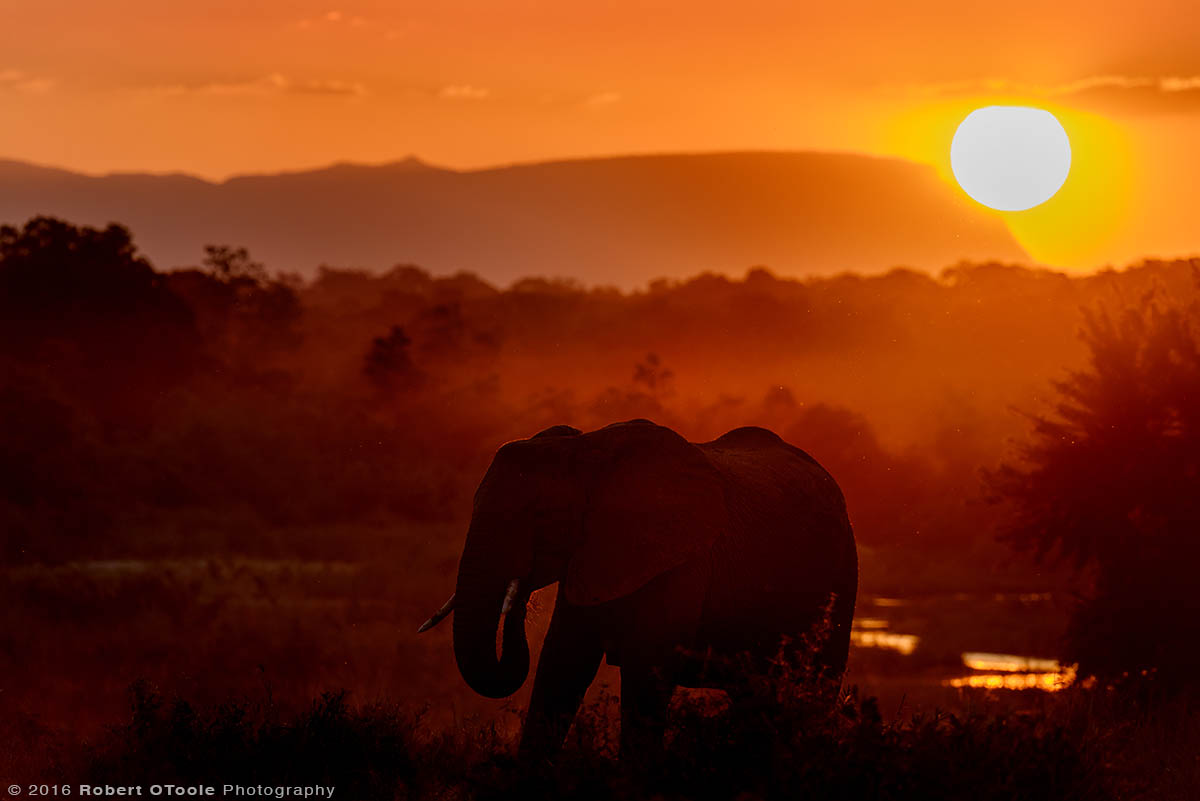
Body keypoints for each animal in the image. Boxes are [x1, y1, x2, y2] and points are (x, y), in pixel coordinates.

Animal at [417, 419, 859, 762]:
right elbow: (561, 663)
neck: (587, 450)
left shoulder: (680, 561)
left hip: (841, 575)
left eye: (539, 515)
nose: (521, 594)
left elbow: (646, 672)